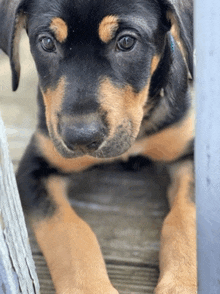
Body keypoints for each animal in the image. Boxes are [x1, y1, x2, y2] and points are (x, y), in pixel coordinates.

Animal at [0, 0, 196, 292]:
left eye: (126, 41)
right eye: (46, 42)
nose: (80, 138)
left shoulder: (191, 154)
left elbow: (184, 216)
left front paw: (181, 283)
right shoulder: (34, 167)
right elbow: (69, 229)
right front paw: (91, 287)